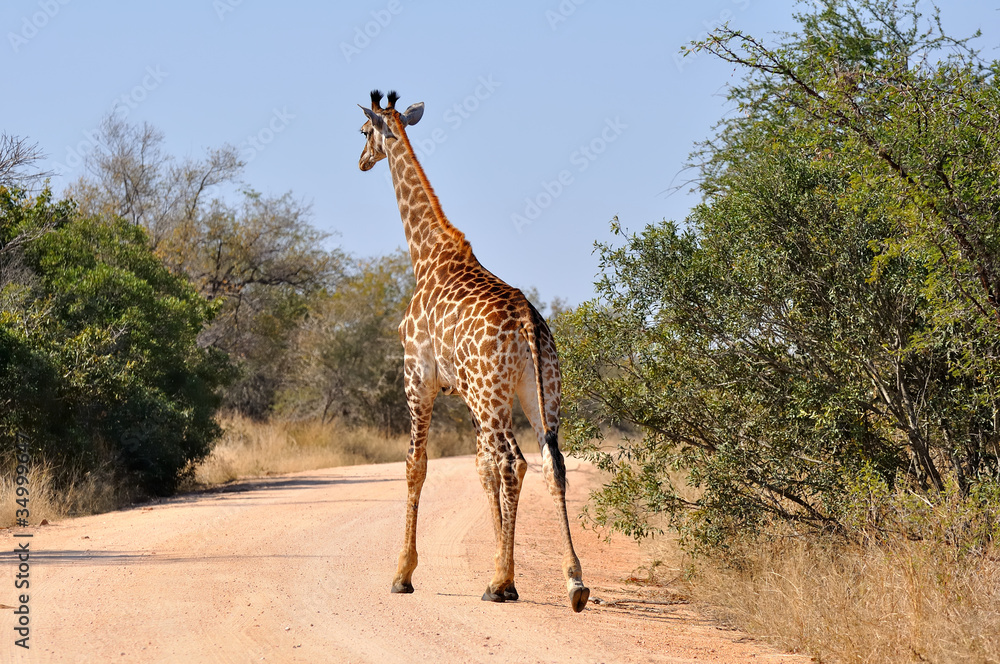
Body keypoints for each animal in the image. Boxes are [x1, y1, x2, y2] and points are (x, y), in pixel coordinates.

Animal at [357, 90, 590, 612]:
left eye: (362, 132)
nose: (360, 161)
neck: (425, 255)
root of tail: (528, 324)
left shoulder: (417, 377)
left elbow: (416, 465)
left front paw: (403, 573)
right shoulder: (464, 393)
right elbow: (480, 469)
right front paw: (509, 573)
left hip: (493, 395)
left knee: (514, 461)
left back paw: (498, 582)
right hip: (536, 393)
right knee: (550, 463)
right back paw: (574, 583)